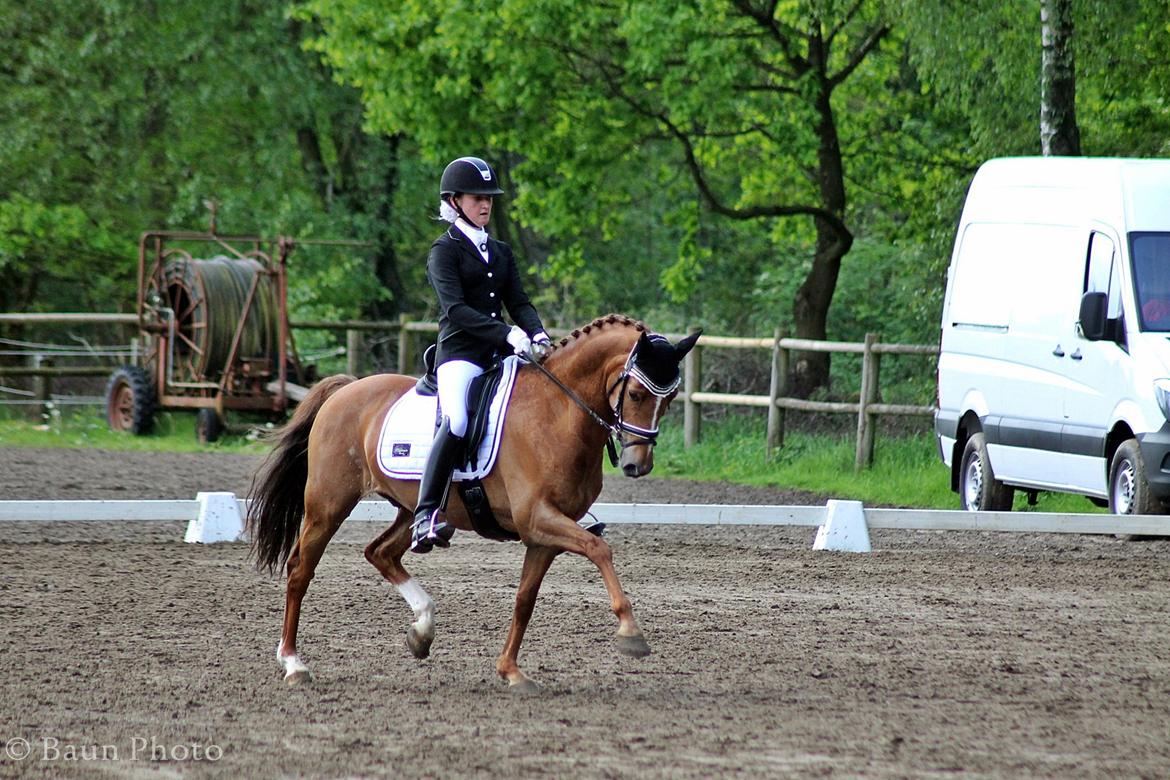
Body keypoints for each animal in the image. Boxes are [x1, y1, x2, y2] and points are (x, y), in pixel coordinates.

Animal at [246, 314, 700, 691]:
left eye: (671, 397)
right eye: (637, 394)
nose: (638, 465)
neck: (557, 414)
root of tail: (346, 389)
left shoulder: (544, 536)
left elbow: (524, 600)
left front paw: (511, 671)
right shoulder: (539, 519)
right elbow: (599, 548)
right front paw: (631, 634)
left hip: (415, 509)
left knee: (380, 552)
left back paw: (422, 631)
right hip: (328, 504)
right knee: (301, 570)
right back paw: (294, 664)